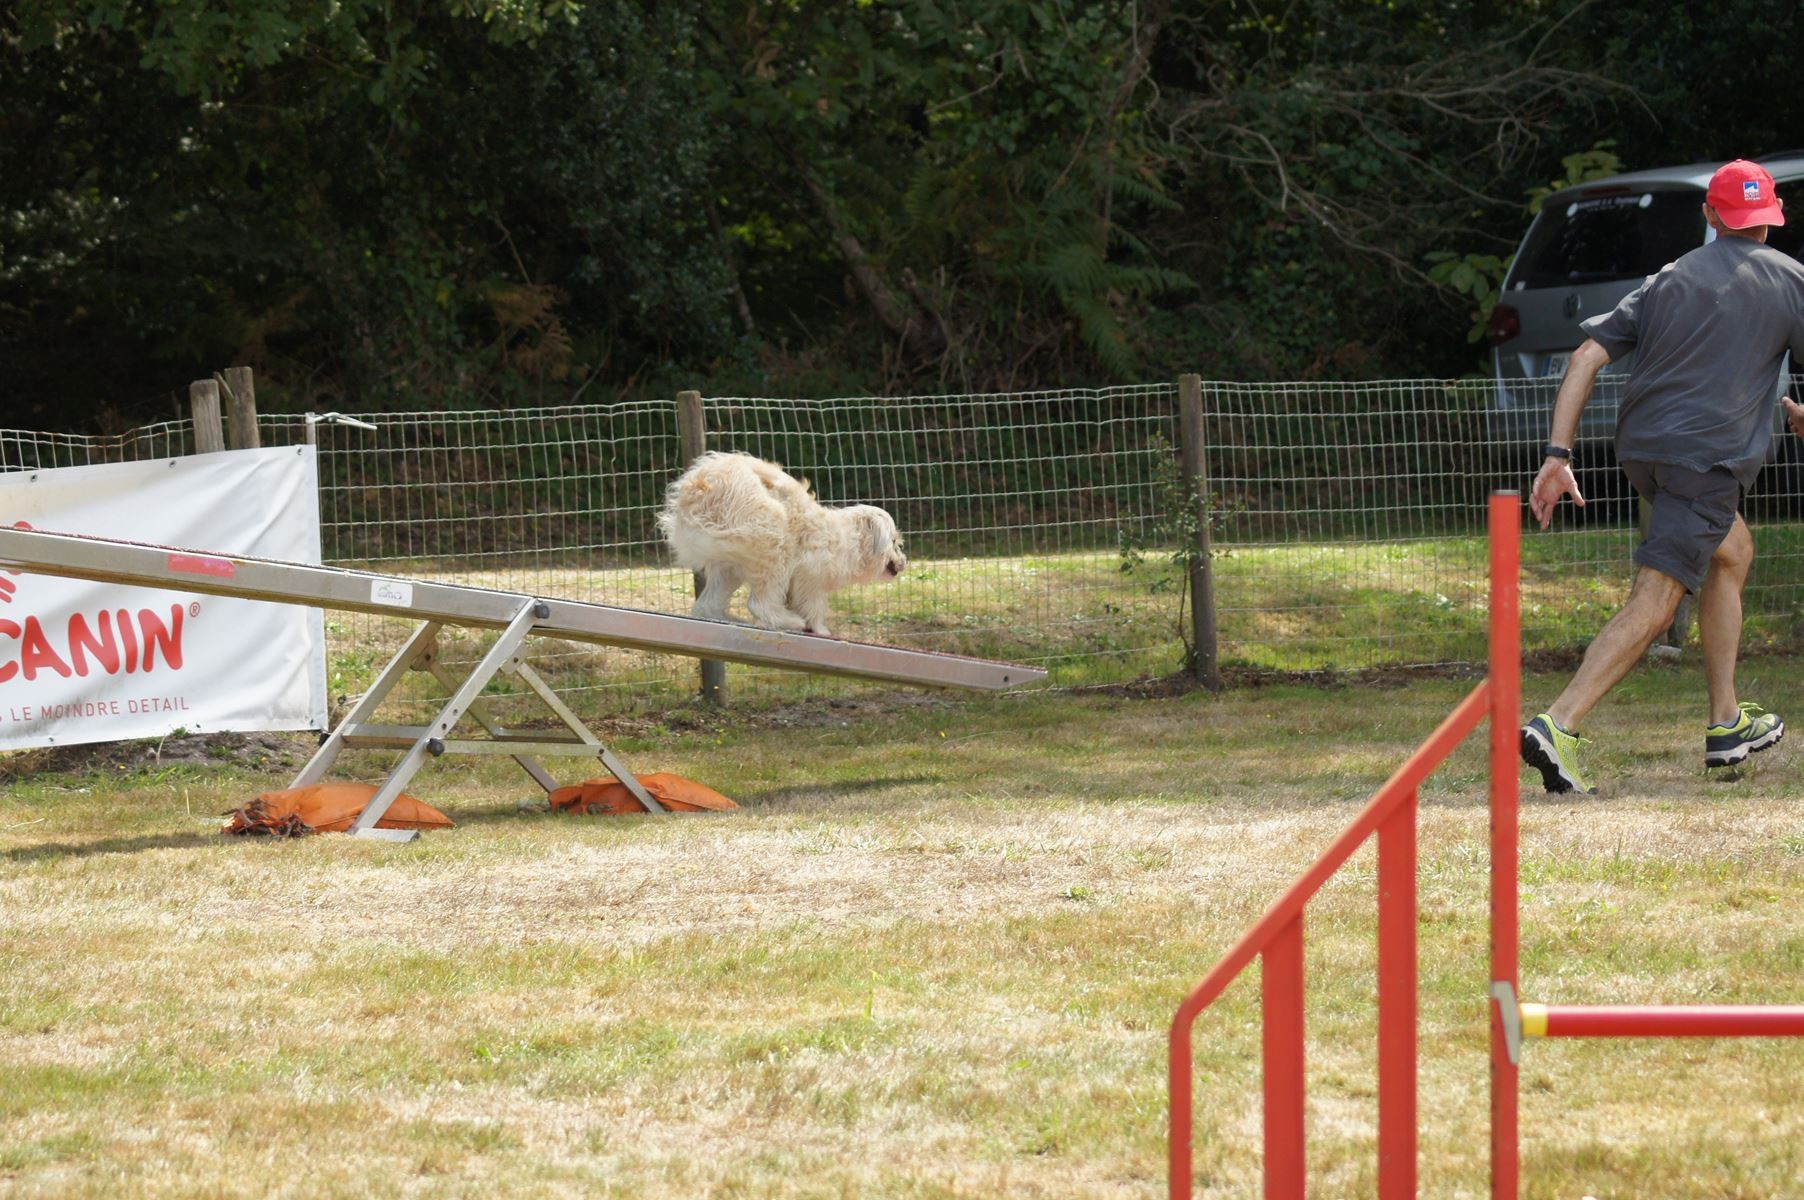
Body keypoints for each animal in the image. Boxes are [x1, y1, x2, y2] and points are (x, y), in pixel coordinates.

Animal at [660, 449, 909, 635]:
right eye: (895, 542)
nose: (904, 561)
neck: (847, 540)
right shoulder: (810, 575)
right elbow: (814, 605)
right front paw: (820, 629)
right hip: (770, 539)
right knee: (759, 603)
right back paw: (789, 621)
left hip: (729, 565)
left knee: (706, 607)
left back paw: (735, 620)